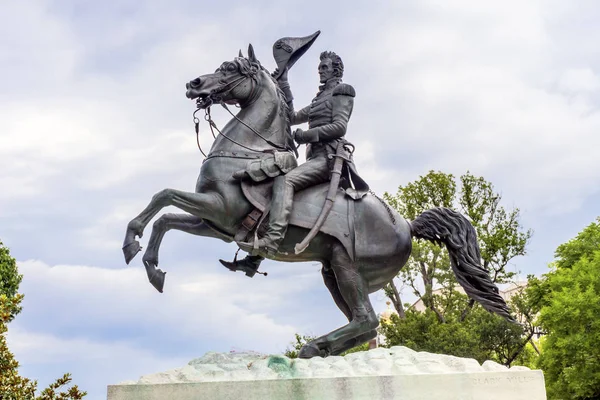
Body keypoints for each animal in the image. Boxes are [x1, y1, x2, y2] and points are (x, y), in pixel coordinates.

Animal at [123, 44, 516, 360]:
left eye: (230, 68)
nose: (194, 84)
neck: (246, 153)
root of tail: (406, 224)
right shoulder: (216, 225)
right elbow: (165, 218)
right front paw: (151, 266)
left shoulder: (219, 208)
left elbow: (163, 195)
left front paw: (131, 242)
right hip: (332, 273)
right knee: (366, 324)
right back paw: (319, 350)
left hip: (347, 267)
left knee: (367, 319)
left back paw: (313, 346)